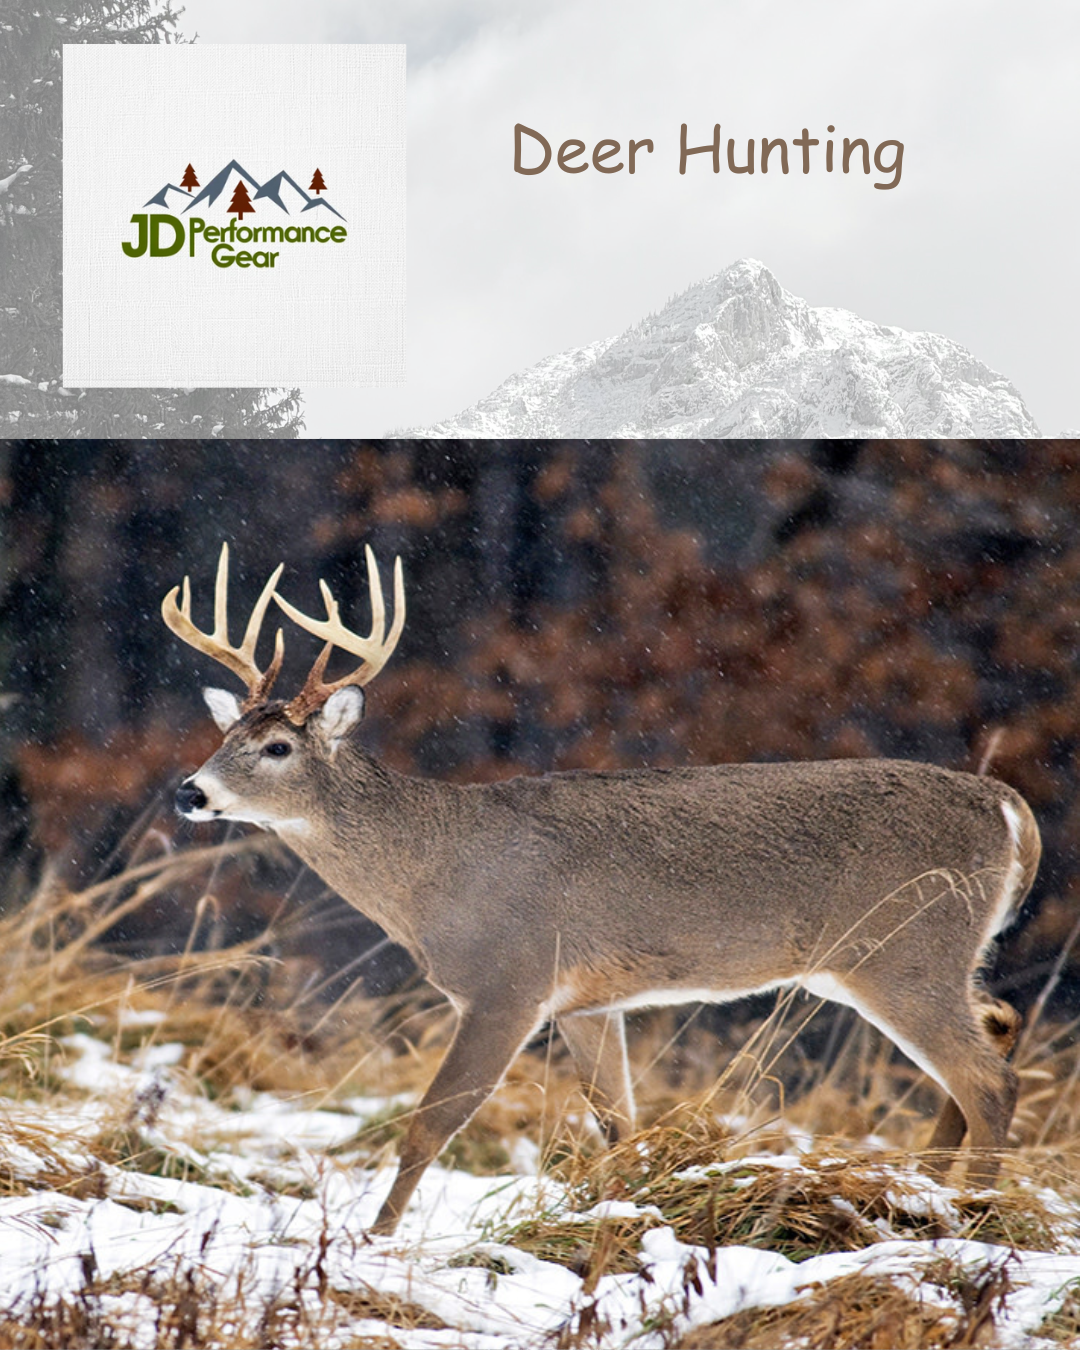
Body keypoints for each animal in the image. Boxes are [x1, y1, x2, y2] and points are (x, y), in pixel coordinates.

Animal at [163, 543, 1041, 1236]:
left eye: (277, 747)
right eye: (224, 733)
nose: (190, 792)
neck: (432, 872)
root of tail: (1010, 810)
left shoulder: (508, 981)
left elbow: (430, 1124)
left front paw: (371, 1242)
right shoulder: (587, 1003)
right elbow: (618, 1125)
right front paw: (626, 1216)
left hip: (902, 949)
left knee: (988, 1077)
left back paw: (972, 1217)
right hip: (917, 956)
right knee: (996, 1025)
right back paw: (921, 1188)